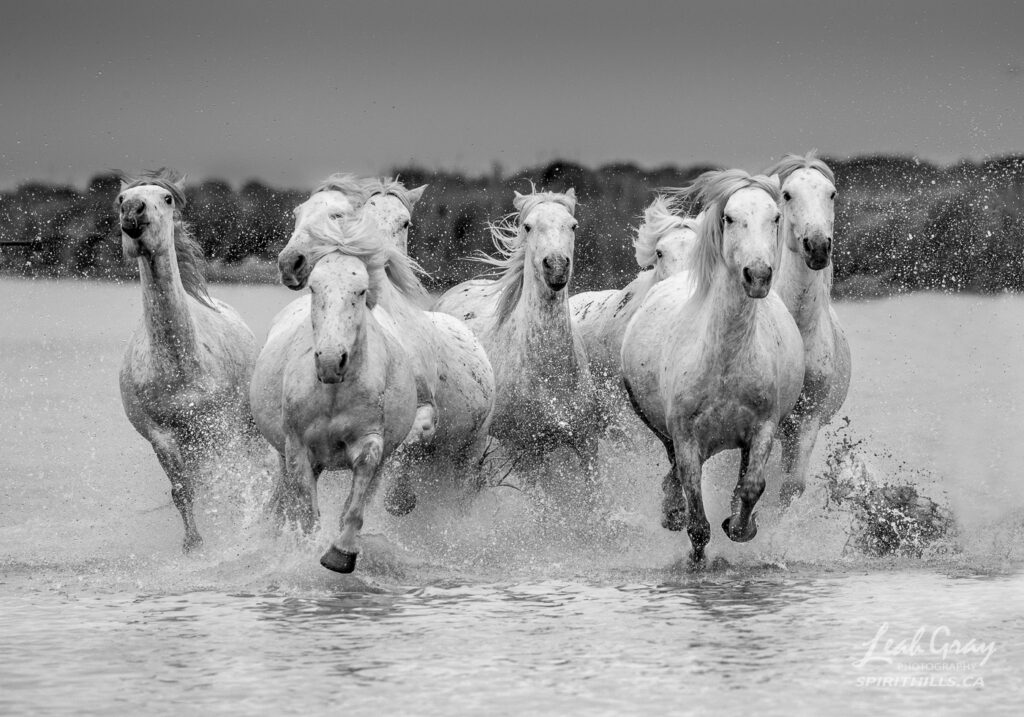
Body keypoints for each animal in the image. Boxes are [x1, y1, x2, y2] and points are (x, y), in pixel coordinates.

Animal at [117, 169, 259, 553]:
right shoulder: (162, 436)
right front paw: (193, 543)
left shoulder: (221, 425)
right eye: (120, 200)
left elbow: (235, 481)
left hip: (241, 428)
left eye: (166, 199)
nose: (133, 213)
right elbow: (182, 489)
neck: (180, 363)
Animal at [251, 210, 419, 573]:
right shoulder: (297, 447)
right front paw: (303, 551)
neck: (331, 395)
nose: (330, 361)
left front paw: (340, 553)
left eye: (361, 290)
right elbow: (306, 512)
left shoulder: (370, 442)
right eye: (315, 287)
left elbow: (355, 501)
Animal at [266, 174, 495, 516]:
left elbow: (408, 441)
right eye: (298, 213)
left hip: (470, 452)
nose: (290, 263)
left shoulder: (422, 409)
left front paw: (399, 497)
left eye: (405, 222)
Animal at [433, 187, 602, 495]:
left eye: (573, 225)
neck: (551, 372)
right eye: (528, 226)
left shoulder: (587, 444)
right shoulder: (528, 455)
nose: (556, 267)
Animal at [621, 169, 805, 563]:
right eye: (730, 218)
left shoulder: (763, 428)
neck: (724, 362)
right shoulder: (686, 436)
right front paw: (696, 556)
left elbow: (752, 486)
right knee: (673, 470)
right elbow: (697, 519)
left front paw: (740, 528)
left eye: (775, 217)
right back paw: (671, 512)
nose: (758, 275)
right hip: (659, 426)